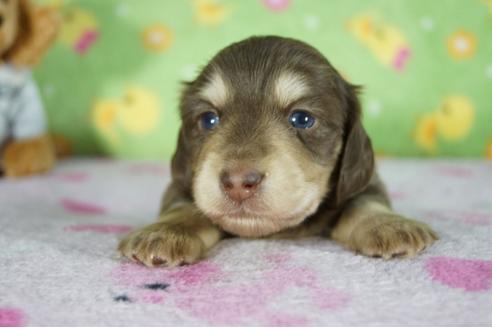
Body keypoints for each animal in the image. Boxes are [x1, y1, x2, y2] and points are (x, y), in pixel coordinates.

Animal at [119, 36, 438, 266]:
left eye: (302, 119)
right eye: (209, 119)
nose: (238, 183)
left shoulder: (366, 181)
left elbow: (366, 202)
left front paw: (389, 226)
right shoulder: (185, 185)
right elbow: (184, 206)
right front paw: (164, 232)